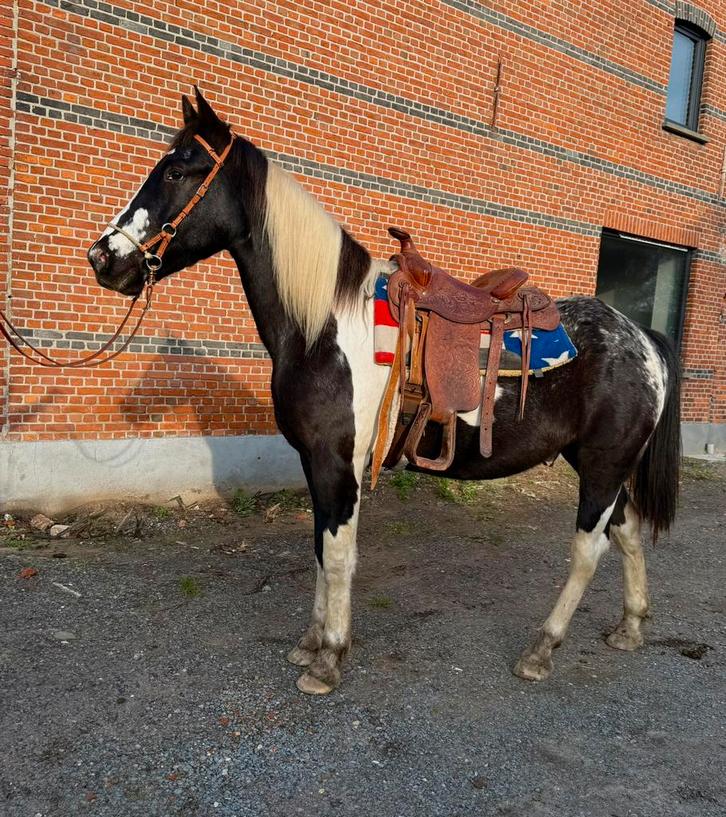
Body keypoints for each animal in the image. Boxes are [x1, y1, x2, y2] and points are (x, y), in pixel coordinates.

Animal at [87, 88, 681, 695]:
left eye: (176, 170)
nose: (103, 258)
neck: (324, 324)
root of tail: (642, 338)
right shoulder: (314, 461)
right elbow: (320, 549)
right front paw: (310, 643)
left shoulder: (336, 461)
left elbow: (338, 553)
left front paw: (329, 658)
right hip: (602, 466)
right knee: (628, 531)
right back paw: (630, 627)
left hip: (603, 467)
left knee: (589, 549)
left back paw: (541, 650)